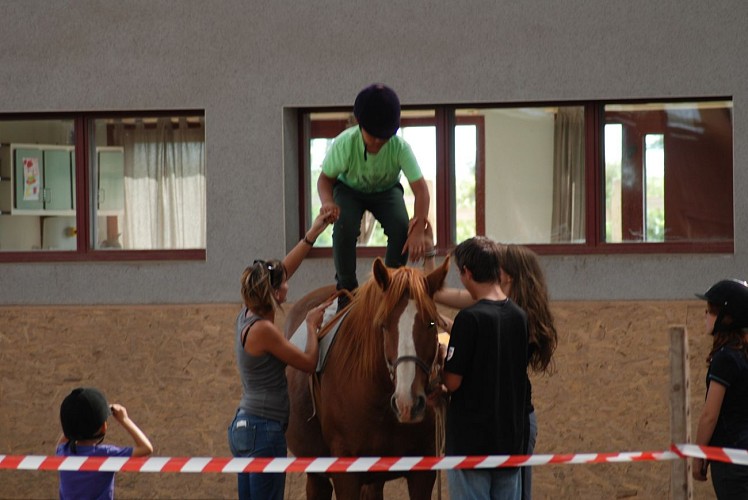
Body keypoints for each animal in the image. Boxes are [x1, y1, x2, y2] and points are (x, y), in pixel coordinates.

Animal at [284, 256, 450, 498]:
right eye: (383, 325)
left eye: (431, 323)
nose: (407, 402)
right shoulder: (346, 476)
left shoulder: (422, 474)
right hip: (317, 474)